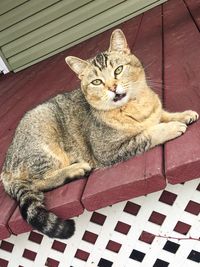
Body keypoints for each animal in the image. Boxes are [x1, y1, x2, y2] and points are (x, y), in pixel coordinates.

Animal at [0, 29, 198, 241]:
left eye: (118, 70)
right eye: (97, 82)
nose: (112, 88)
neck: (136, 106)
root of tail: (5, 168)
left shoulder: (155, 113)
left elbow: (163, 114)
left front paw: (183, 115)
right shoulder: (109, 151)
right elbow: (147, 134)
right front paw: (172, 127)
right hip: (46, 144)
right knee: (37, 182)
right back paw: (75, 170)